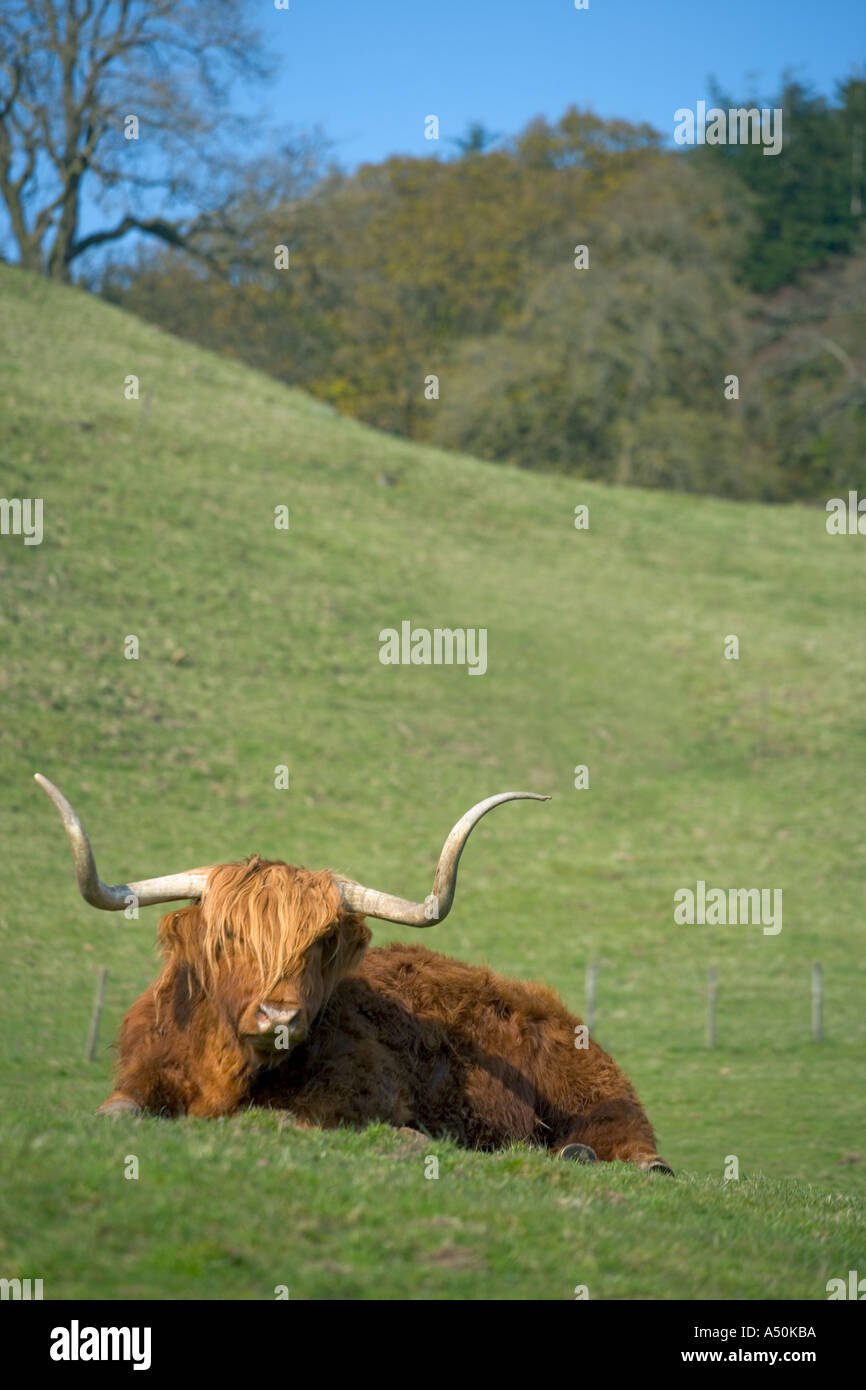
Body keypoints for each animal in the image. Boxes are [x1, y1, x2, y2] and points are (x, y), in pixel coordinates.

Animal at [36, 774, 673, 1173]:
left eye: (321, 943)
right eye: (231, 937)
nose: (279, 1014)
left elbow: (289, 1119)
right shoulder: (141, 1075)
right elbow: (117, 1112)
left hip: (597, 1093)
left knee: (642, 1154)